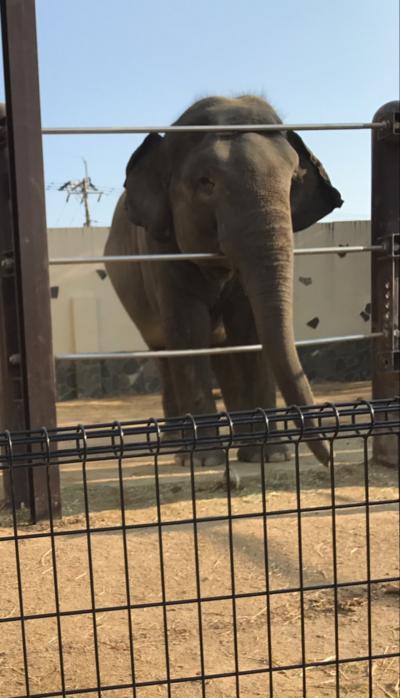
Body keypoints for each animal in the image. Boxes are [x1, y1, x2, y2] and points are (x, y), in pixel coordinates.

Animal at [104, 95, 342, 468]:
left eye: (293, 182)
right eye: (206, 183)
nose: (331, 459)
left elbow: (250, 328)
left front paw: (271, 455)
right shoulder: (160, 251)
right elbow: (189, 330)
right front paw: (203, 461)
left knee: (222, 347)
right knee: (164, 351)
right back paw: (174, 446)